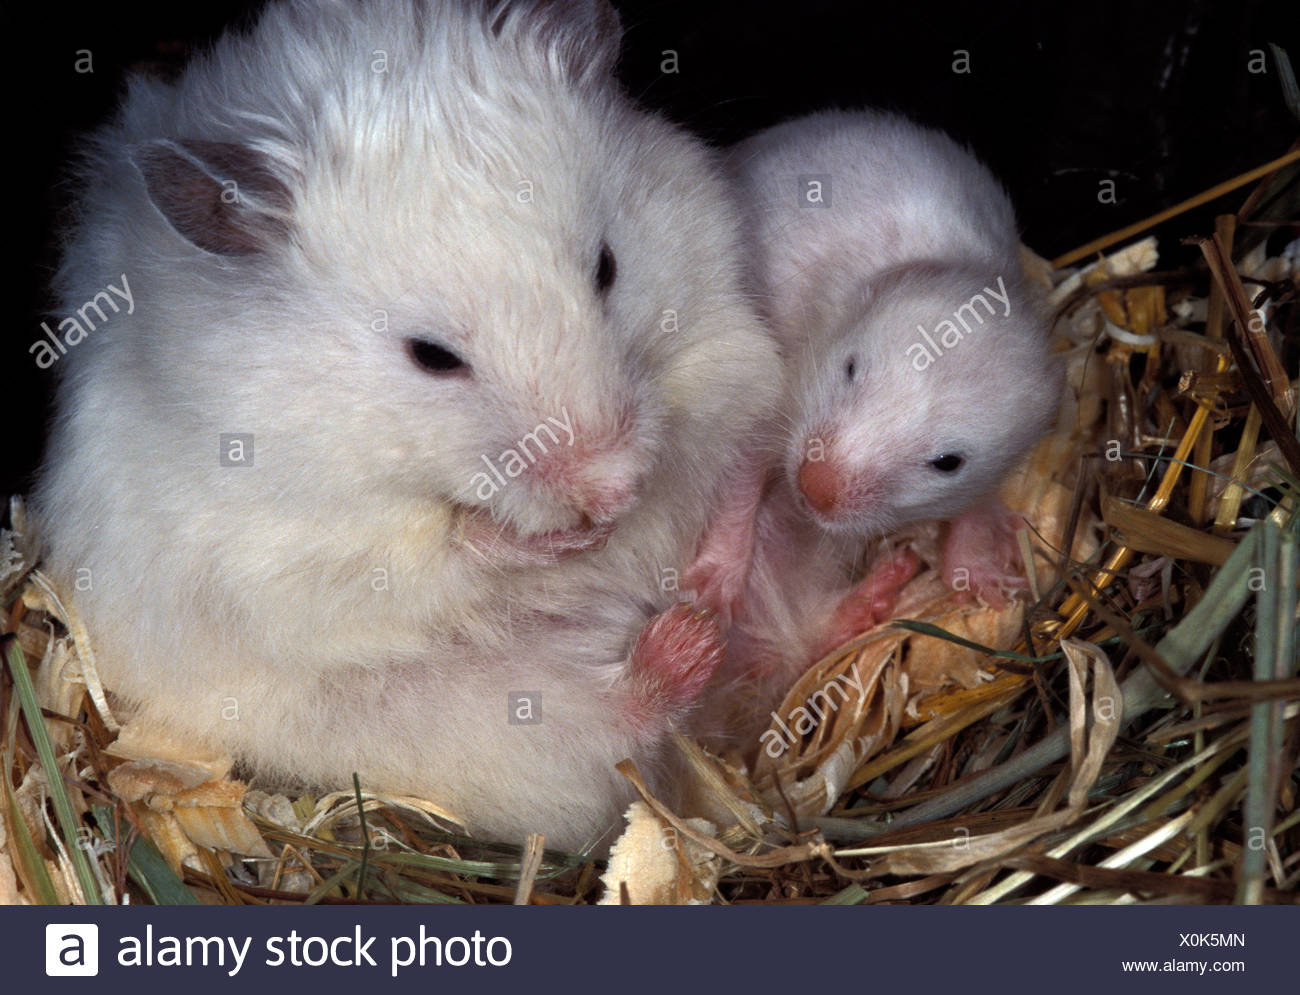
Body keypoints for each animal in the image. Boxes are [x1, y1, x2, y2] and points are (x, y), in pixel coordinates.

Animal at [29, 0, 782, 852]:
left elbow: (735, 454)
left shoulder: (727, 352)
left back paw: (706, 610)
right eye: (431, 356)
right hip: (454, 716)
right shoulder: (282, 557)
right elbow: (441, 550)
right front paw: (564, 542)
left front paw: (687, 566)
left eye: (607, 268)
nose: (616, 493)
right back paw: (682, 645)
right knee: (607, 720)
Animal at [691, 110, 1060, 750]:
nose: (815, 488)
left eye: (947, 462)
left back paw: (864, 605)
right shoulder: (785, 368)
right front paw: (719, 574)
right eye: (850, 368)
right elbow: (742, 463)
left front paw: (976, 560)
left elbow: (981, 492)